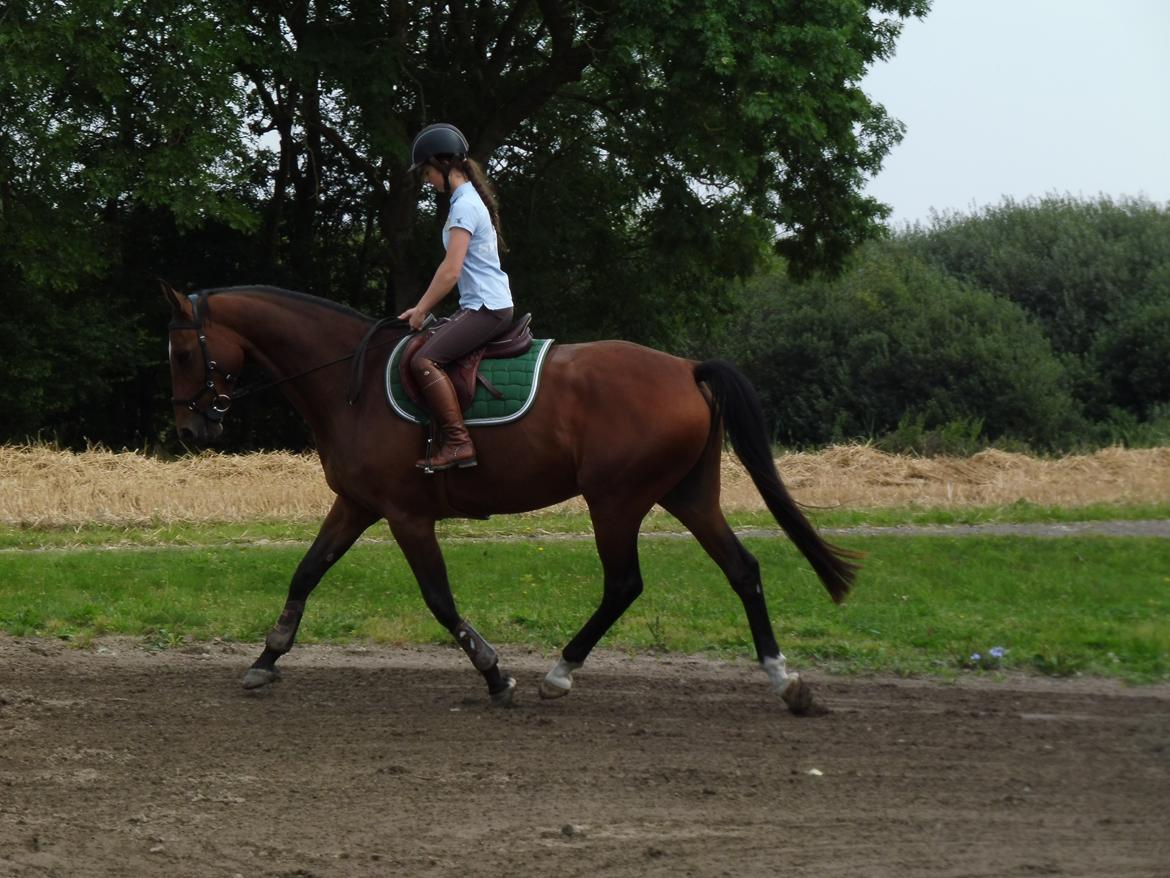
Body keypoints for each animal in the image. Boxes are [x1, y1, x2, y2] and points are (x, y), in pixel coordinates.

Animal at [164, 286, 861, 716]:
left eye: (182, 351)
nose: (191, 429)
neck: (345, 383)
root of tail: (686, 368)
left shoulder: (406, 515)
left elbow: (439, 599)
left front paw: (496, 673)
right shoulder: (358, 505)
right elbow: (306, 572)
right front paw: (266, 658)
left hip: (616, 500)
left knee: (624, 584)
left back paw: (560, 673)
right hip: (687, 495)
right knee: (742, 570)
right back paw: (785, 680)